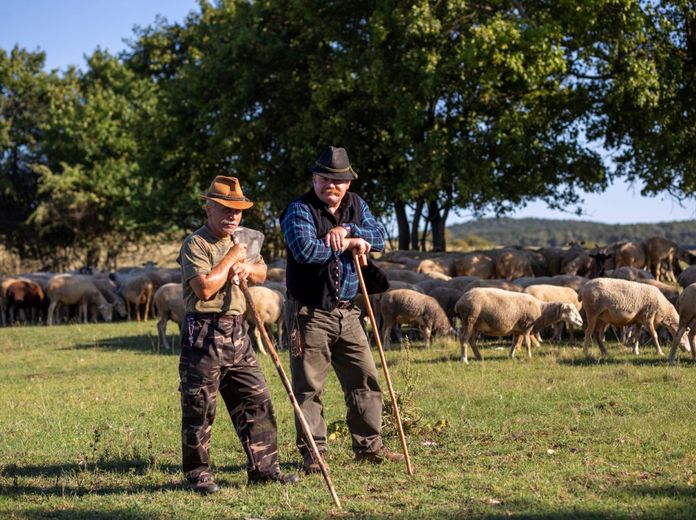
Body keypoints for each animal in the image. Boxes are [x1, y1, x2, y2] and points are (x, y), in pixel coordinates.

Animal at [454, 288, 584, 362]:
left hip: (476, 325)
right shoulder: (527, 326)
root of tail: (460, 301)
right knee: (464, 339)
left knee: (471, 341)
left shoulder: (516, 330)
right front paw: (529, 356)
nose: (581, 322)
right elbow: (528, 343)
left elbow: (514, 343)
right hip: (470, 320)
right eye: (569, 310)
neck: (541, 310)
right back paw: (464, 359)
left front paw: (511, 356)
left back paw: (479, 357)